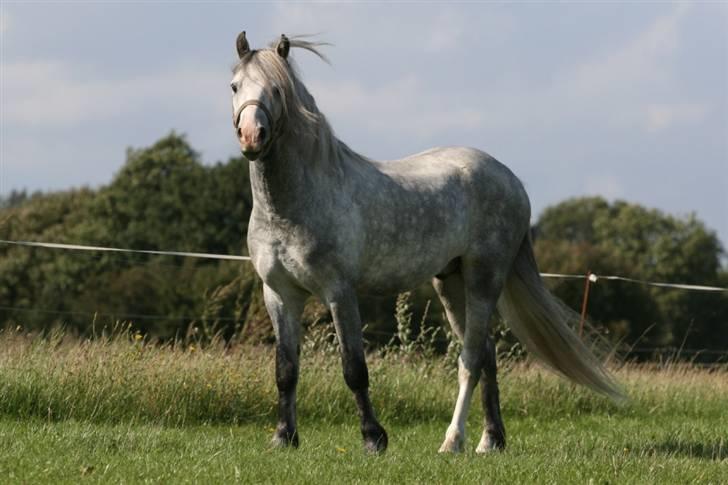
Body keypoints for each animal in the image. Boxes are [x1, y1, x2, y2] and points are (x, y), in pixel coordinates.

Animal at [230, 34, 624, 454]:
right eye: (235, 86)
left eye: (276, 89)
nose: (251, 137)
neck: (292, 206)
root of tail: (511, 179)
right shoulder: (280, 294)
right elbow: (285, 369)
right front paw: (283, 437)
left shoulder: (339, 292)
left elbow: (354, 368)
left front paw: (374, 438)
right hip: (450, 282)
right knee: (487, 355)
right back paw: (491, 440)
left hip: (484, 278)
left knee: (471, 358)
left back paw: (453, 441)